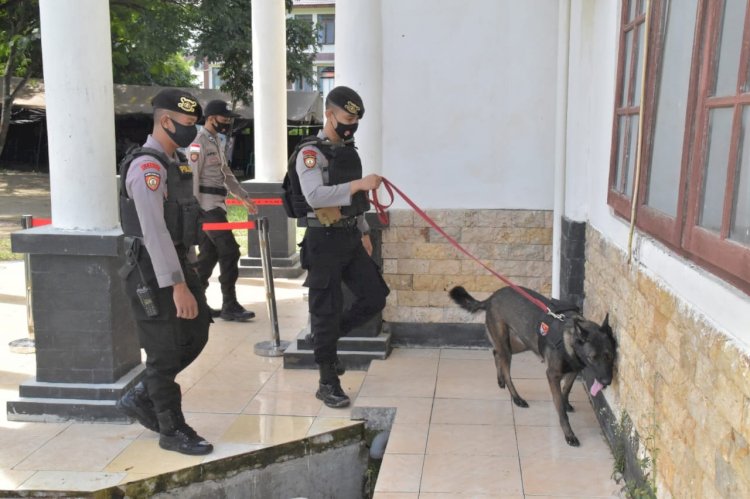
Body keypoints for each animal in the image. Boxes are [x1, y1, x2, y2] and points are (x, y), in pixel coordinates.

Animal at [452, 288, 616, 448]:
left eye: (609, 356)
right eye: (592, 358)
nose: (606, 381)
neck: (570, 340)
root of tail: (491, 297)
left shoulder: (574, 370)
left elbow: (566, 390)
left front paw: (565, 403)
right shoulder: (552, 375)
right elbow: (561, 410)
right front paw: (569, 434)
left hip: (520, 344)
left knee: (495, 352)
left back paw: (500, 380)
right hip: (507, 346)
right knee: (506, 370)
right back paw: (516, 398)